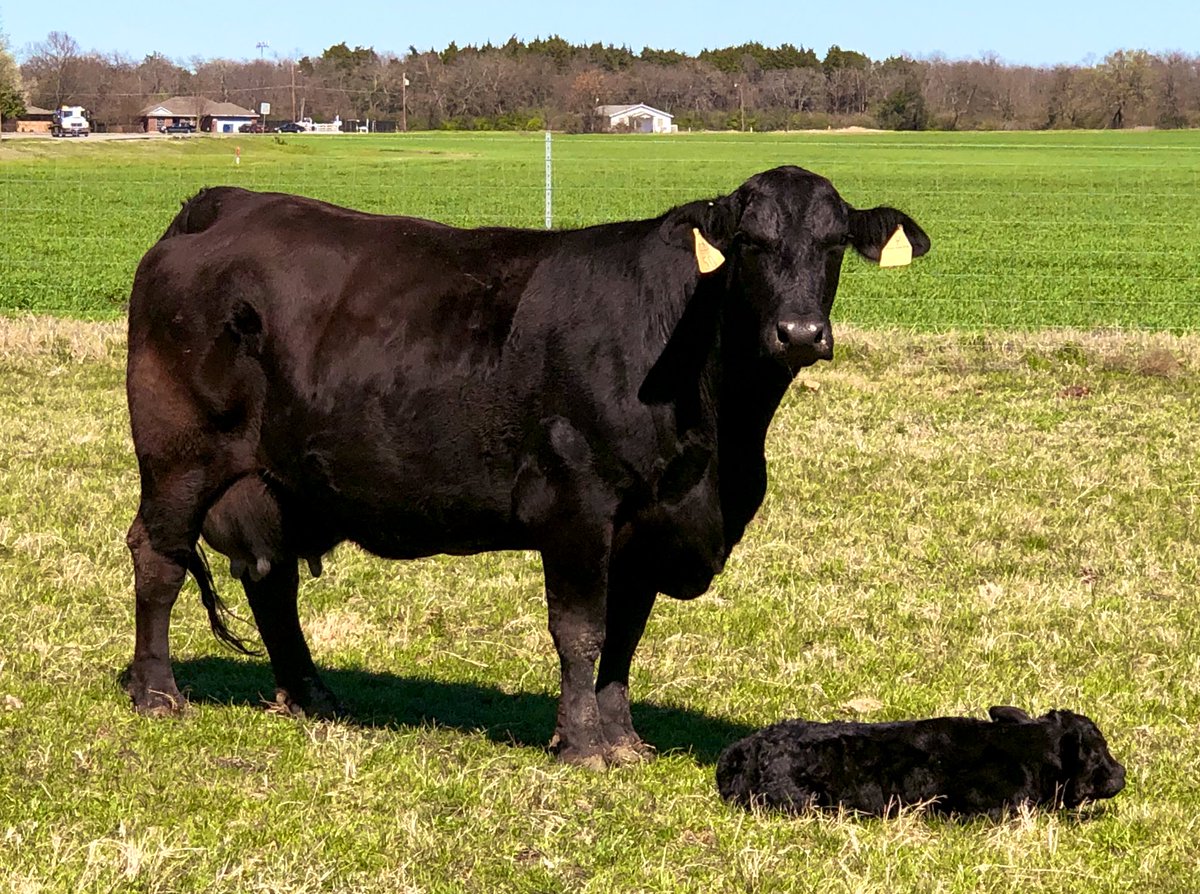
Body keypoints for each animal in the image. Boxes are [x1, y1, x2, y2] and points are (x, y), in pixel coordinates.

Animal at [124, 166, 930, 767]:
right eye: (750, 243)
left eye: (833, 244)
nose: (800, 332)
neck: (718, 447)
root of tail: (220, 204)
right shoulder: (579, 507)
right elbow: (580, 630)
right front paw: (580, 744)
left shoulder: (645, 528)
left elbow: (625, 633)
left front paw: (623, 739)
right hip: (179, 459)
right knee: (158, 557)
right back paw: (158, 693)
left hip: (275, 481)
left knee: (272, 580)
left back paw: (312, 696)